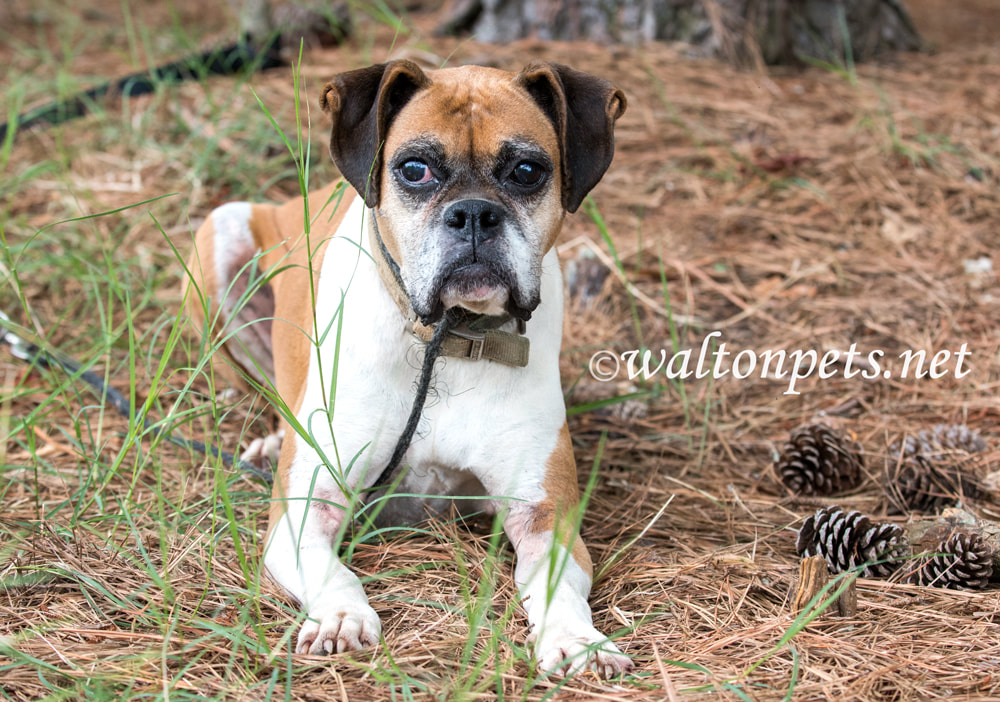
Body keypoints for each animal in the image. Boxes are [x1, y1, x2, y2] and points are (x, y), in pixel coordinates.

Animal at [186, 62, 632, 680]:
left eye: (526, 171)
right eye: (414, 169)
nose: (473, 214)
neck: (447, 341)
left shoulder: (545, 514)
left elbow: (557, 587)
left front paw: (577, 639)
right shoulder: (303, 513)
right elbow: (332, 570)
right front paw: (342, 616)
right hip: (220, 232)